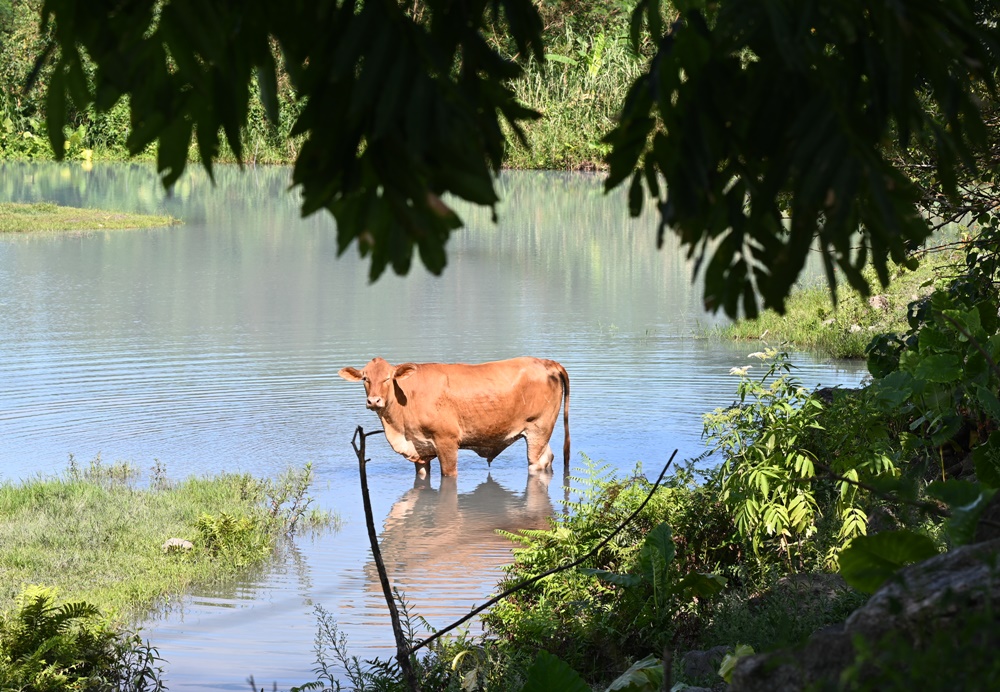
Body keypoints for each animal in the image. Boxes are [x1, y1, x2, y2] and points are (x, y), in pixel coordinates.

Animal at [338, 356, 568, 476]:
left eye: (388, 378)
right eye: (365, 378)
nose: (374, 401)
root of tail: (547, 362)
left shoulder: (446, 441)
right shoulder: (420, 449)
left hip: (538, 429)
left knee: (537, 462)